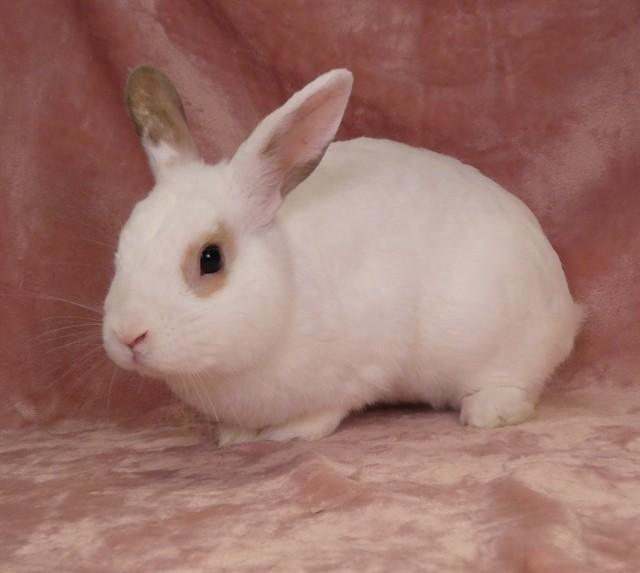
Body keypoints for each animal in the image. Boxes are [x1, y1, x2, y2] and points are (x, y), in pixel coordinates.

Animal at [102, 66, 582, 446]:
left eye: (210, 258)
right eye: (122, 247)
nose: (128, 336)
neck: (288, 285)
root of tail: (565, 308)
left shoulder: (362, 361)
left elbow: (328, 408)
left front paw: (287, 433)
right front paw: (234, 436)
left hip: (500, 341)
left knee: (516, 386)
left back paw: (486, 412)